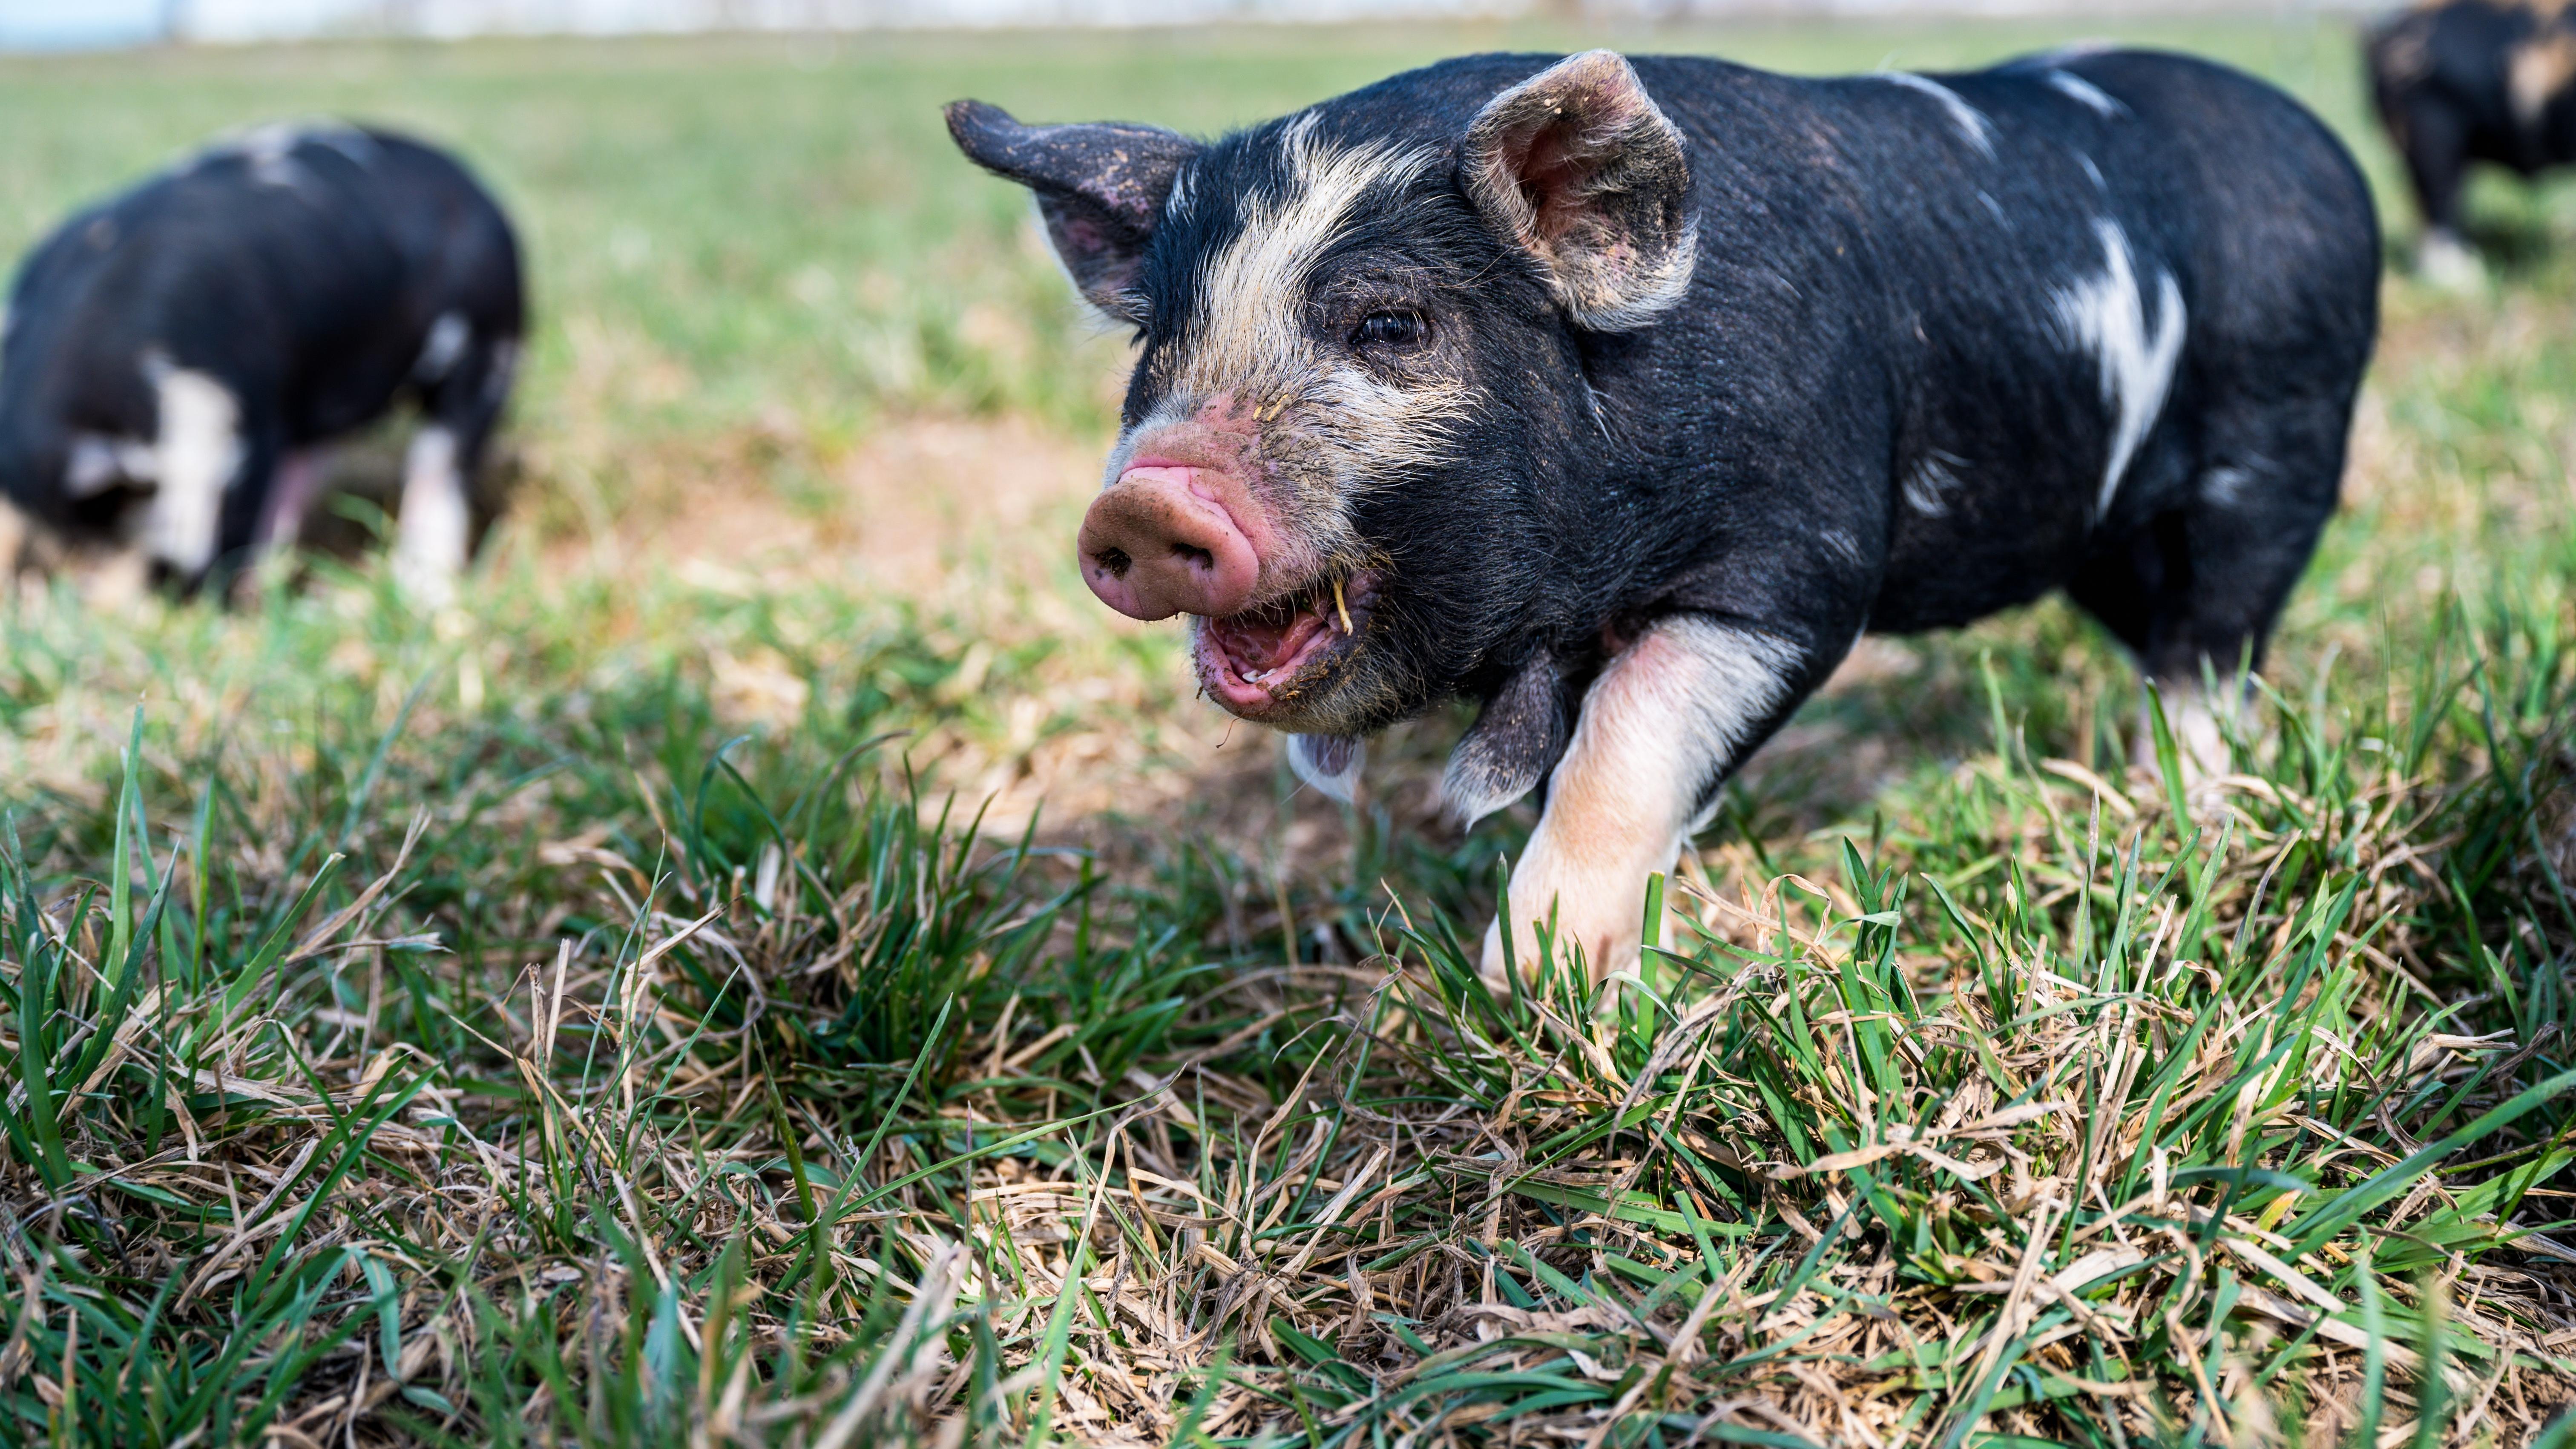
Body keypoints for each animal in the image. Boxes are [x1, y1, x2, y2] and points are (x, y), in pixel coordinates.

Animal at [0, 122, 525, 598]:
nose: (167, 582)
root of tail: (476, 184)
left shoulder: (232, 412)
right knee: (312, 461)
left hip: (493, 342)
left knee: (443, 460)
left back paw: (424, 592)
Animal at [948, 45, 2370, 980]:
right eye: (1157, 342)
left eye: (1391, 325)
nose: (1144, 500)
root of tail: (2319, 140)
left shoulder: (1802, 559)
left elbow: (1633, 731)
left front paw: (1542, 981)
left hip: (2284, 439)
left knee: (2215, 642)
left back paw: (2186, 806)